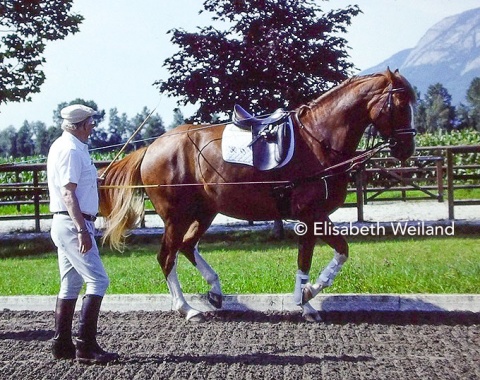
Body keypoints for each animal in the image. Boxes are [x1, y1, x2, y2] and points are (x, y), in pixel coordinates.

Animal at [98, 68, 416, 320]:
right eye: (400, 105)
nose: (406, 149)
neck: (319, 140)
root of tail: (151, 148)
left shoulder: (316, 216)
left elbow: (339, 252)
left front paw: (306, 297)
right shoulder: (309, 215)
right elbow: (312, 258)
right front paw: (306, 300)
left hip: (204, 212)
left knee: (186, 247)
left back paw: (215, 291)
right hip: (177, 216)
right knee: (167, 257)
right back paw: (186, 309)